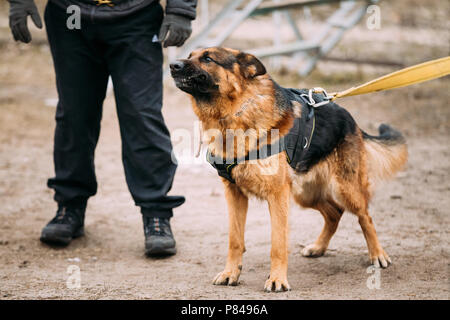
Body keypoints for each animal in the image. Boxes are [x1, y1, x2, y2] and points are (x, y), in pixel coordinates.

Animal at [170, 47, 408, 292]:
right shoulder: (234, 195)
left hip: (344, 189)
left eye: (208, 58)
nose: (172, 65)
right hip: (304, 194)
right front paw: (231, 273)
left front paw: (277, 279)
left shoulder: (277, 196)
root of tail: (348, 117)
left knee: (365, 217)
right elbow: (235, 240)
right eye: (190, 55)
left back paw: (377, 254)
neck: (237, 111)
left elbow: (278, 243)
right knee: (334, 213)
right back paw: (318, 247)